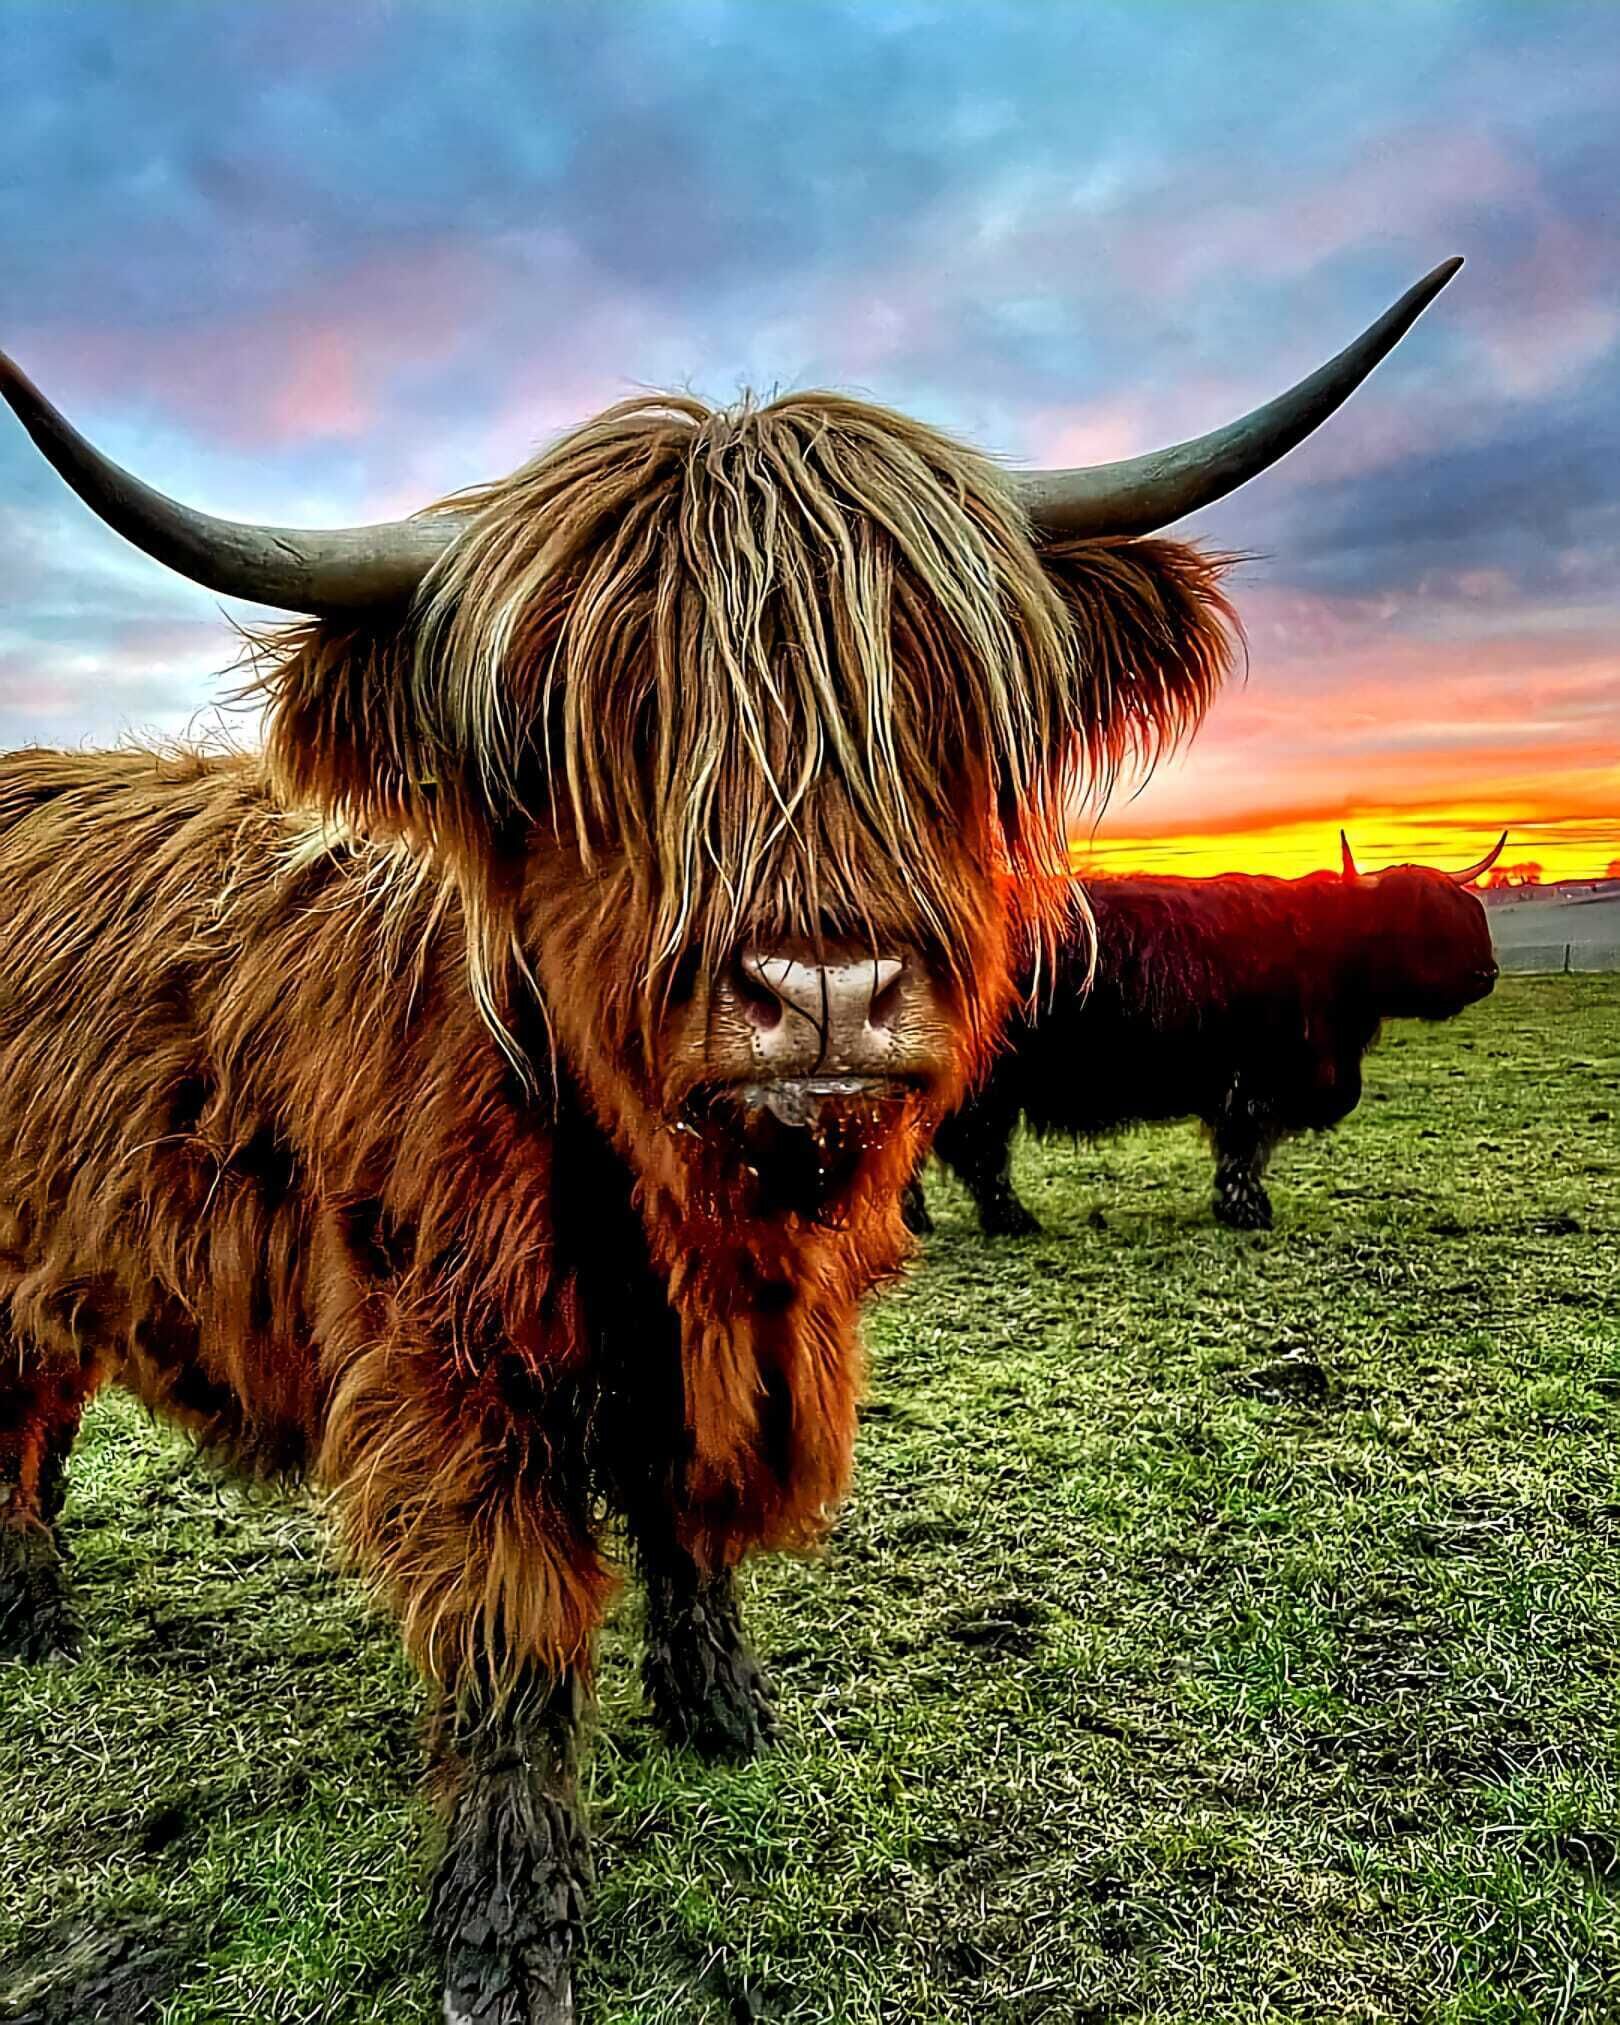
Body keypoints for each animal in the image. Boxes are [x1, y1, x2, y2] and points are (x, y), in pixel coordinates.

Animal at [905, 827, 1504, 1240]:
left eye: (1465, 914)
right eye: (1417, 922)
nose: (1486, 973)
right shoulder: (1255, 1078)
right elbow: (1243, 1149)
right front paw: (1247, 1209)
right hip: (981, 1085)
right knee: (975, 1152)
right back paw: (1007, 1219)